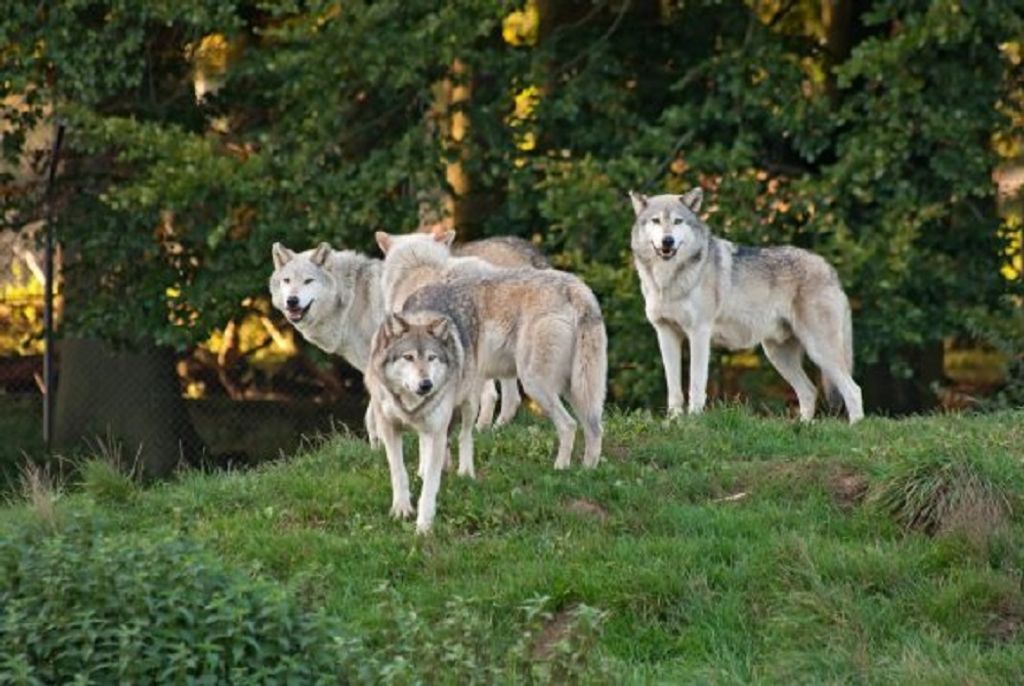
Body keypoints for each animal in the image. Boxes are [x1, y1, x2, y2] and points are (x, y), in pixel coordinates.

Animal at [376, 230, 607, 475]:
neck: (417, 271)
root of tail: (576, 288)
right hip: (575, 388)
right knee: (593, 428)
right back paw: (586, 471)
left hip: (535, 383)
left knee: (568, 425)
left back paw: (560, 468)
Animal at [628, 187, 863, 423]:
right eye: (656, 221)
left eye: (678, 221)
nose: (667, 241)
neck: (667, 280)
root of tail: (830, 270)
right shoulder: (666, 332)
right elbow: (674, 389)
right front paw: (673, 422)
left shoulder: (699, 333)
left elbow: (695, 385)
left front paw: (693, 421)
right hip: (778, 354)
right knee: (810, 391)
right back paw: (803, 426)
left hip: (818, 350)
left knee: (853, 390)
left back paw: (855, 426)